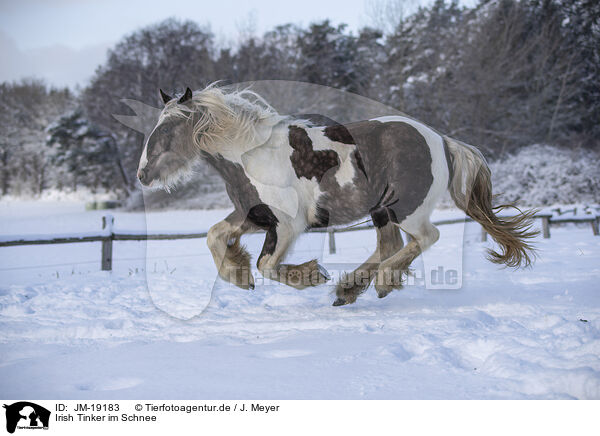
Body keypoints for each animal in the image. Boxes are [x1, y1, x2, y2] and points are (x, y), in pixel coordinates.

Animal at [137, 83, 540, 304]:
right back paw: (350, 291)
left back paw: (380, 283)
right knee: (390, 245)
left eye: (168, 129)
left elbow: (268, 265)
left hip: (407, 209)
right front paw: (238, 274)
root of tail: (440, 139)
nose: (143, 174)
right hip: (382, 210)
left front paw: (311, 275)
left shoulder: (287, 225)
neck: (251, 154)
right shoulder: (253, 216)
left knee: (426, 237)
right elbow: (214, 235)